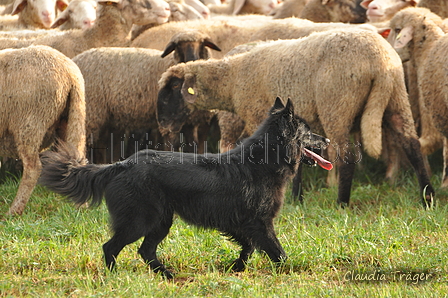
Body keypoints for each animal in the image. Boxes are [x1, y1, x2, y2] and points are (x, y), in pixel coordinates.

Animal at [39, 96, 328, 278]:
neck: (264, 160)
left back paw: (167, 275)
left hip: (160, 222)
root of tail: (120, 165)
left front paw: (235, 268)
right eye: (308, 132)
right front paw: (289, 272)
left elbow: (248, 247)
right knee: (111, 247)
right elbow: (277, 252)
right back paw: (115, 277)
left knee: (145, 250)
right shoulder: (260, 222)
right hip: (140, 220)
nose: (326, 140)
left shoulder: (241, 223)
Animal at [157, 29, 434, 207]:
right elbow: (297, 161)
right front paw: (296, 200)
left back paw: (342, 203)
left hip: (338, 102)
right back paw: (427, 198)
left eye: (173, 87)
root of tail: (380, 60)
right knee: (412, 144)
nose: (161, 124)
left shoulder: (258, 116)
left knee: (347, 155)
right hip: (397, 98)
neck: (233, 77)